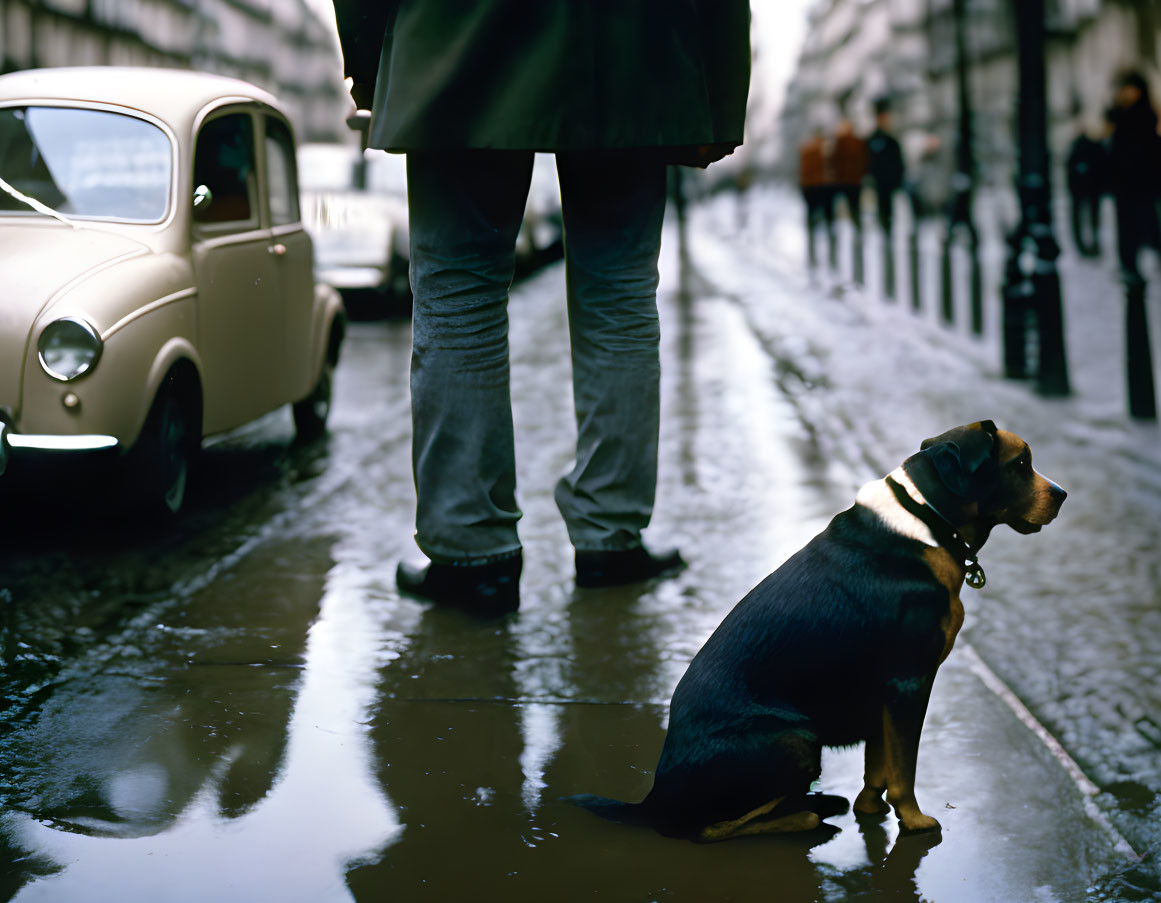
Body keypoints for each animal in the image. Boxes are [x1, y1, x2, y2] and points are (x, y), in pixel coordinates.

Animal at [566, 420, 1063, 835]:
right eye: (1020, 464)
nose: (1061, 494)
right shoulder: (909, 682)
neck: (926, 520)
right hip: (797, 740)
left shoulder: (882, 694)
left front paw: (870, 807)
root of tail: (653, 800)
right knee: (707, 828)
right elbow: (903, 769)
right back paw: (806, 815)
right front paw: (914, 821)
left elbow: (878, 764)